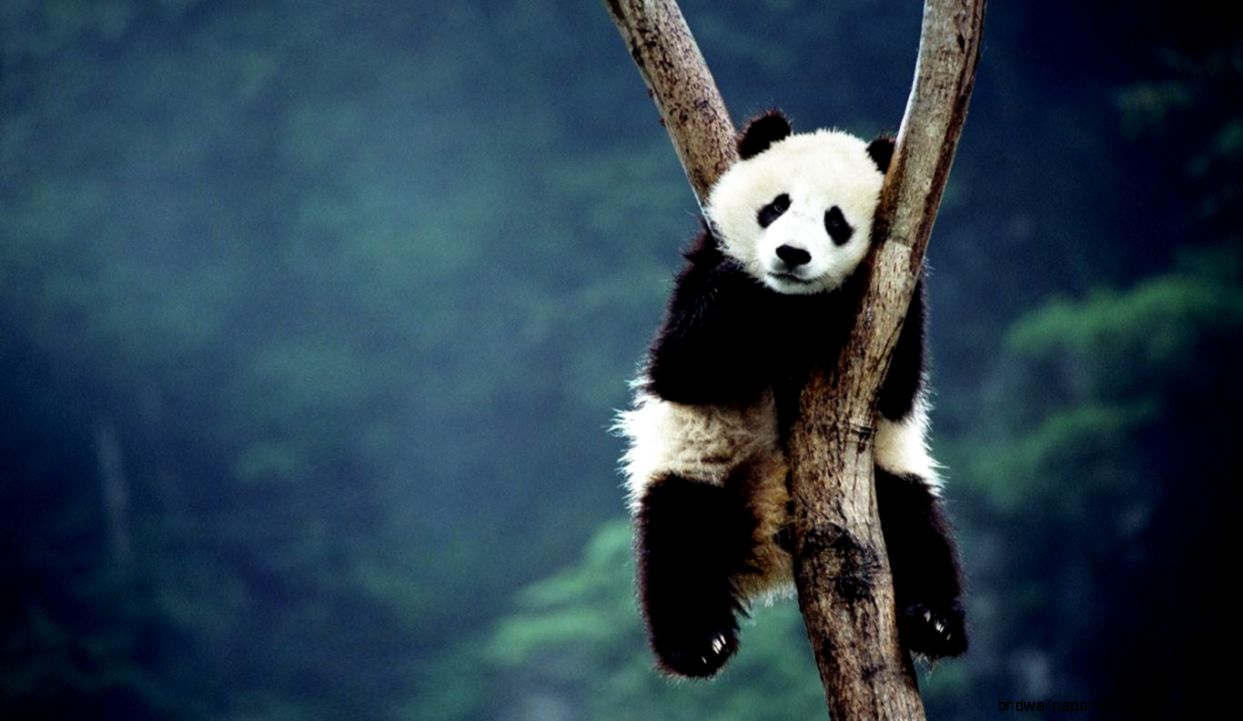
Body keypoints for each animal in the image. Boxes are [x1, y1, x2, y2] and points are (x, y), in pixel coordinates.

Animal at [616, 110, 967, 679]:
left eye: (835, 222)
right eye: (776, 206)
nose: (790, 254)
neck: (791, 306)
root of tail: (765, 550)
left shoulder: (893, 300)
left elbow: (898, 387)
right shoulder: (703, 266)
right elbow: (681, 362)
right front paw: (741, 286)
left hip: (886, 479)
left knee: (919, 529)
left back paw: (935, 623)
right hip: (697, 467)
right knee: (678, 545)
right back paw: (700, 643)